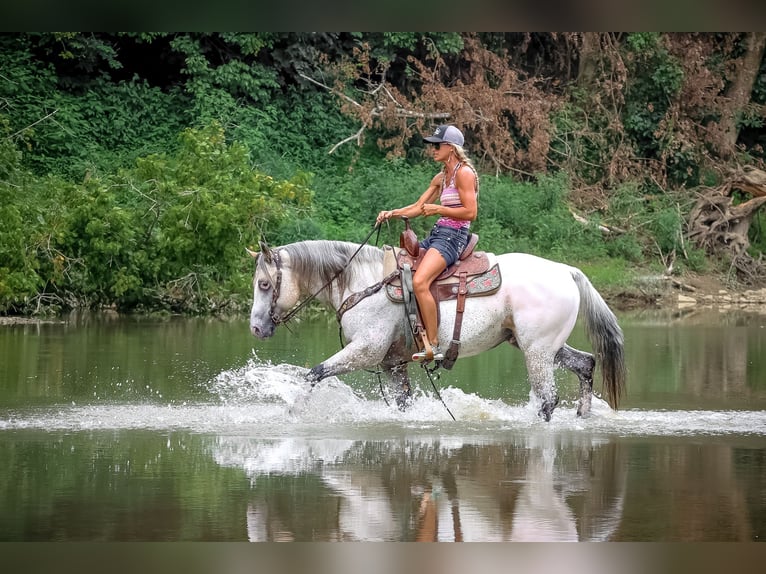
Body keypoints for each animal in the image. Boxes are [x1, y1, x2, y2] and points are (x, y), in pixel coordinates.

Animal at [247, 239, 625, 421]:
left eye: (264, 284)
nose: (255, 328)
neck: (363, 282)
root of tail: (567, 271)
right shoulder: (392, 363)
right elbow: (402, 403)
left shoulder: (365, 351)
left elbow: (314, 373)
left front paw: (294, 410)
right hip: (541, 346)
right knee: (586, 364)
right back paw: (582, 416)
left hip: (537, 351)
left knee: (547, 398)